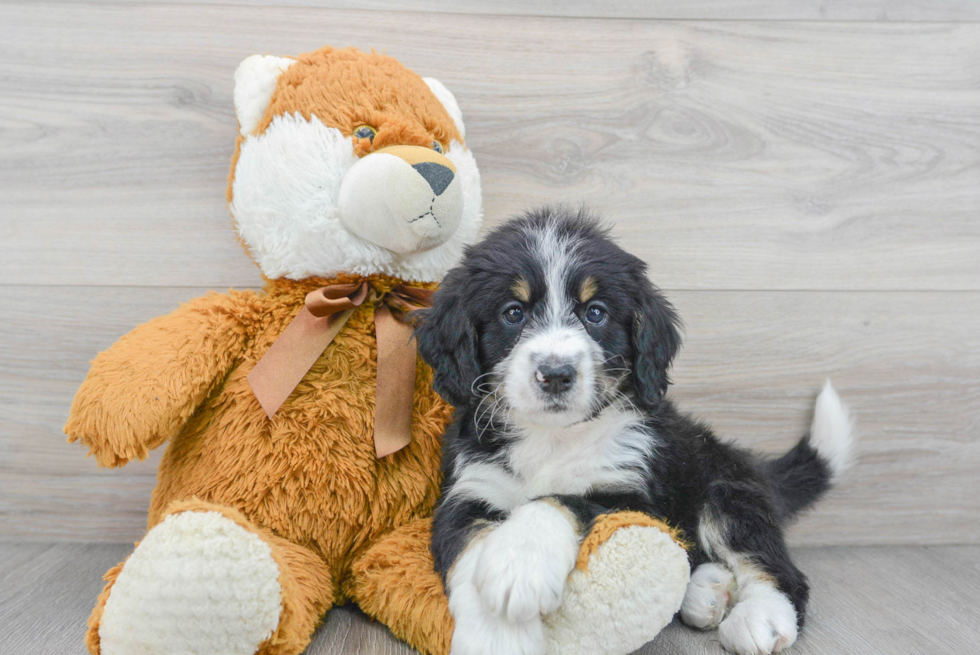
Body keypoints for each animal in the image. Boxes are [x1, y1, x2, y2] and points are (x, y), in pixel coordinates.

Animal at [418, 208, 852, 655]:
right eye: (513, 312)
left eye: (595, 313)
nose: (556, 374)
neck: (553, 439)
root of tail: (748, 462)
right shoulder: (470, 491)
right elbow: (470, 548)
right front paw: (497, 631)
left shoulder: (633, 496)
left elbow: (562, 499)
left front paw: (521, 562)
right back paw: (706, 591)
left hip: (727, 491)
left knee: (777, 569)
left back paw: (758, 618)